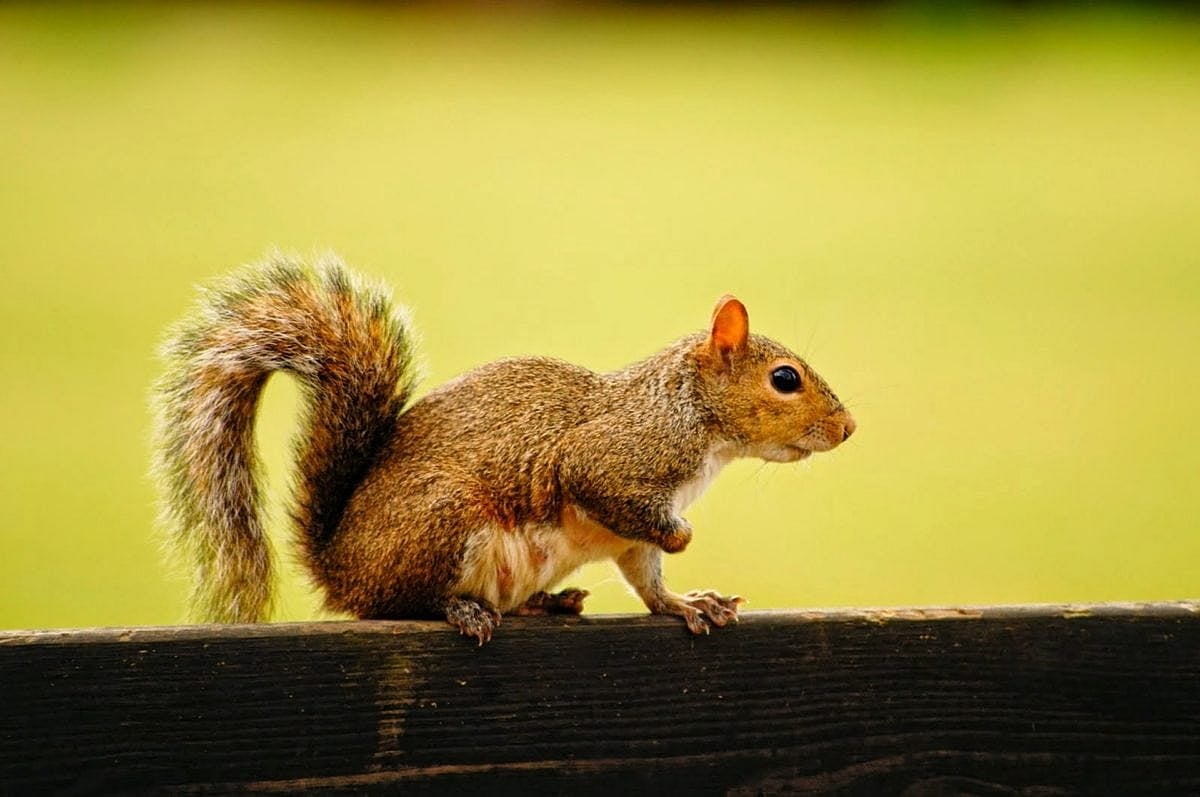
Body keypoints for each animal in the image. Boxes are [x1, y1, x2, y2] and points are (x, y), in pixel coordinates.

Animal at [153, 252, 855, 643]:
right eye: (785, 379)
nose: (847, 428)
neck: (690, 414)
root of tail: (340, 565)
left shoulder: (631, 539)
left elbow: (648, 581)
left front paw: (689, 603)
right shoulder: (609, 460)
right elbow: (615, 497)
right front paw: (683, 539)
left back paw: (549, 603)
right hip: (445, 521)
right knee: (407, 604)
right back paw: (464, 610)